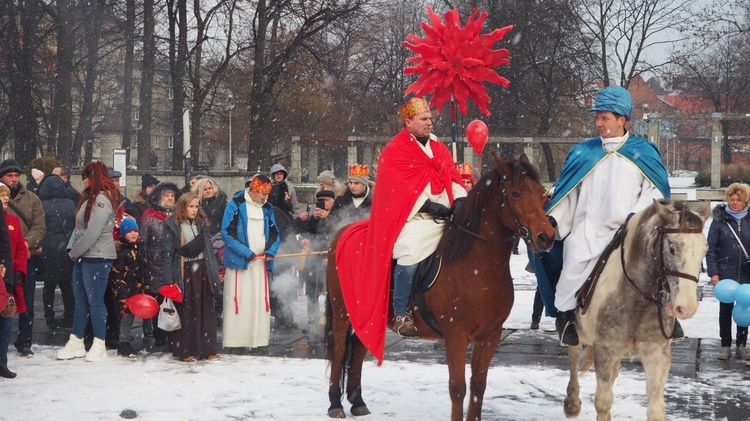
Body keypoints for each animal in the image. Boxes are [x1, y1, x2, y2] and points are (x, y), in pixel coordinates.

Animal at [326, 153, 556, 420]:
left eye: (540, 191)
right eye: (516, 193)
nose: (546, 236)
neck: (477, 266)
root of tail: (341, 232)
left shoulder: (490, 335)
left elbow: (478, 386)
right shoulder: (456, 335)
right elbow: (458, 388)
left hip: (371, 317)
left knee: (358, 347)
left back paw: (357, 401)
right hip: (342, 312)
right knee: (339, 348)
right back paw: (335, 404)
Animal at [568, 199, 712, 420]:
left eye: (705, 250)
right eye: (672, 249)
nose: (686, 308)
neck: (637, 298)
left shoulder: (656, 353)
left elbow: (655, 409)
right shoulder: (605, 350)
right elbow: (602, 402)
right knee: (574, 353)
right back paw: (572, 402)